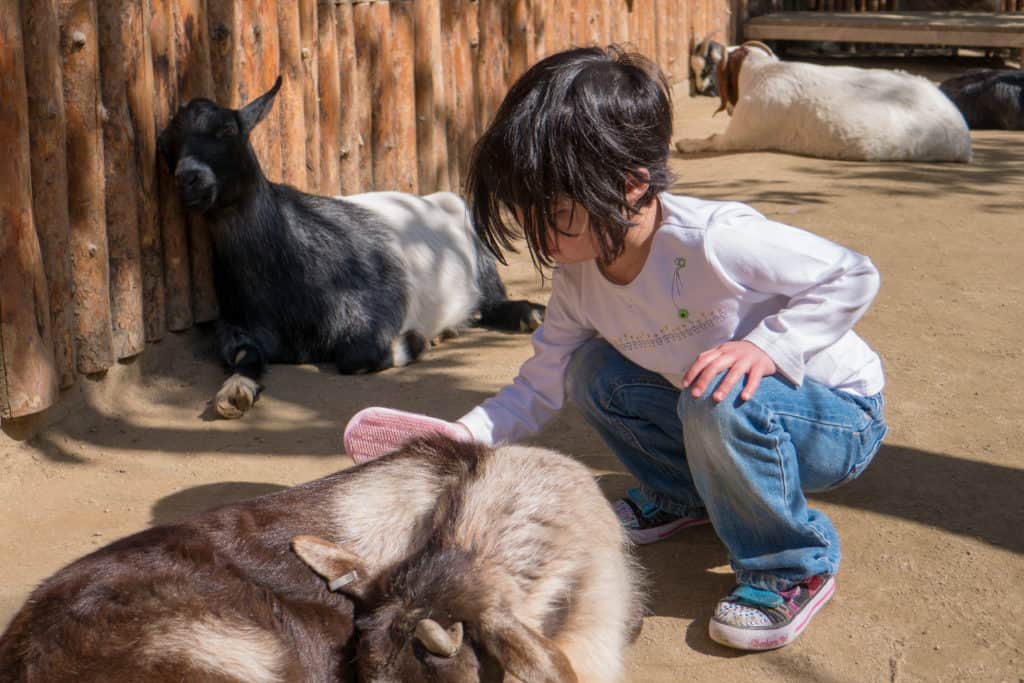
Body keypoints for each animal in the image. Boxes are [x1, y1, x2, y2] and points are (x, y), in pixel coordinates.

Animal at [156, 75, 548, 417]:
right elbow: (242, 358)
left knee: (493, 301)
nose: (188, 178)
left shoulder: (374, 311)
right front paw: (235, 391)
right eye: (167, 146)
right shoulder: (235, 327)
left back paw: (528, 313)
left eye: (227, 130)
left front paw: (416, 342)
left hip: (476, 238)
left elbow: (356, 355)